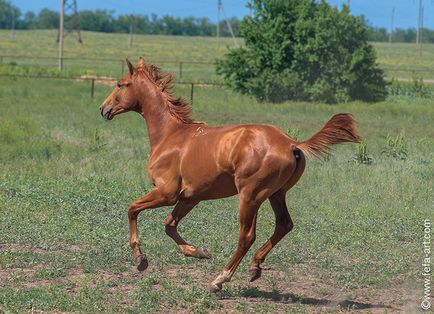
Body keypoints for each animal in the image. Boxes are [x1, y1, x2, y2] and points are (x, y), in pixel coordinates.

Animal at [99, 57, 360, 292]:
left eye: (121, 84)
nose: (103, 109)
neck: (170, 135)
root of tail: (291, 143)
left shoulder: (166, 193)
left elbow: (132, 209)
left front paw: (140, 259)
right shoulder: (190, 197)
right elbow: (169, 226)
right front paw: (199, 252)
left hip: (250, 195)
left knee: (247, 236)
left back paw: (220, 280)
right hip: (277, 194)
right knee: (284, 225)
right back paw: (254, 267)